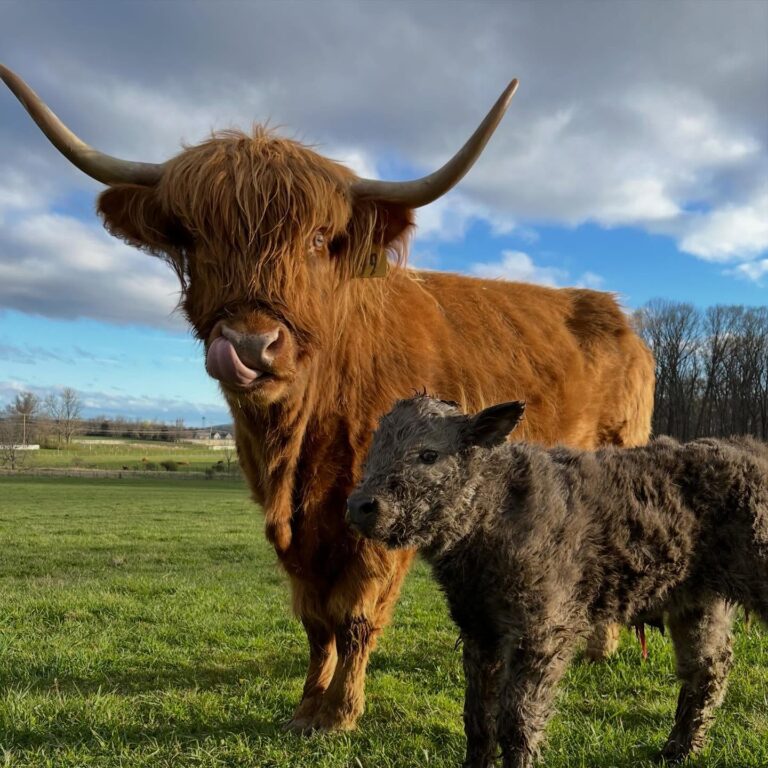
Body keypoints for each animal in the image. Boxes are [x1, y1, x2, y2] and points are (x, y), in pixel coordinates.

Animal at [1, 66, 655, 733]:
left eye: (319, 239)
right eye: (194, 237)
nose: (251, 346)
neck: (300, 446)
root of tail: (617, 314)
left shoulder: (383, 514)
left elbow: (358, 613)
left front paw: (341, 711)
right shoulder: (296, 530)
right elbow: (317, 620)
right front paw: (308, 704)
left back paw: (601, 647)